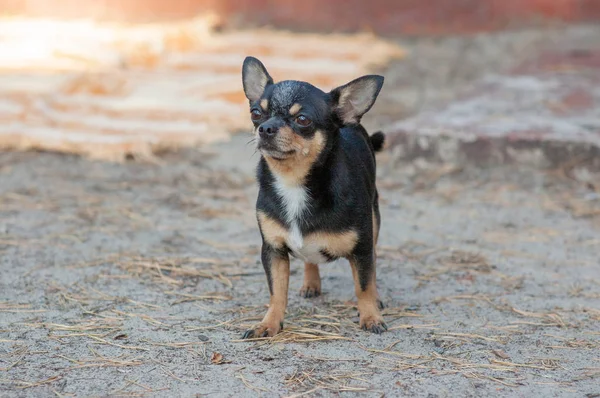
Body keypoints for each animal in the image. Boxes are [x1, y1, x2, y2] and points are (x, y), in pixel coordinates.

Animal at [241, 55, 386, 336]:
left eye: (303, 119)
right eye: (256, 113)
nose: (265, 128)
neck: (293, 182)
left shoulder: (362, 247)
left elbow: (364, 284)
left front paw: (371, 316)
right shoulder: (273, 251)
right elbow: (277, 292)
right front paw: (269, 323)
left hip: (374, 221)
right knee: (310, 259)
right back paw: (311, 283)